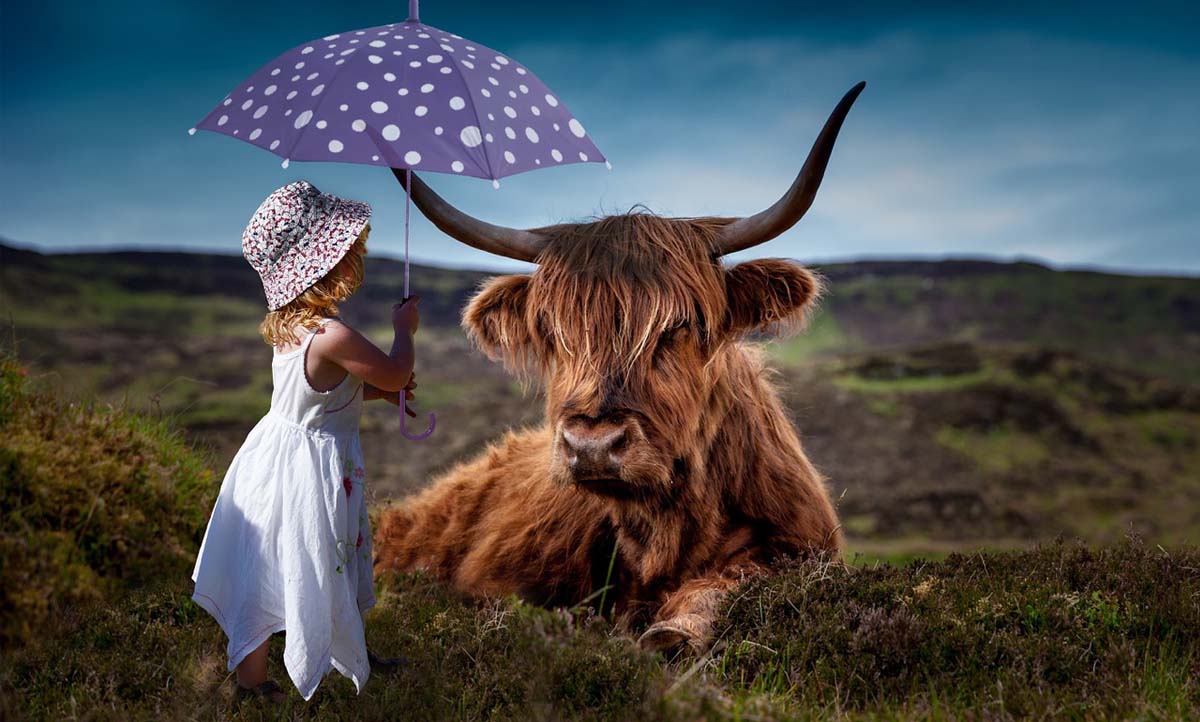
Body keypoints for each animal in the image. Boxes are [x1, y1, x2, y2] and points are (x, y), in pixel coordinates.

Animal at [374, 81, 864, 647]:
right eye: (552, 329)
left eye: (681, 325)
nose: (592, 445)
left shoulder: (799, 547)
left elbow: (734, 579)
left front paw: (673, 631)